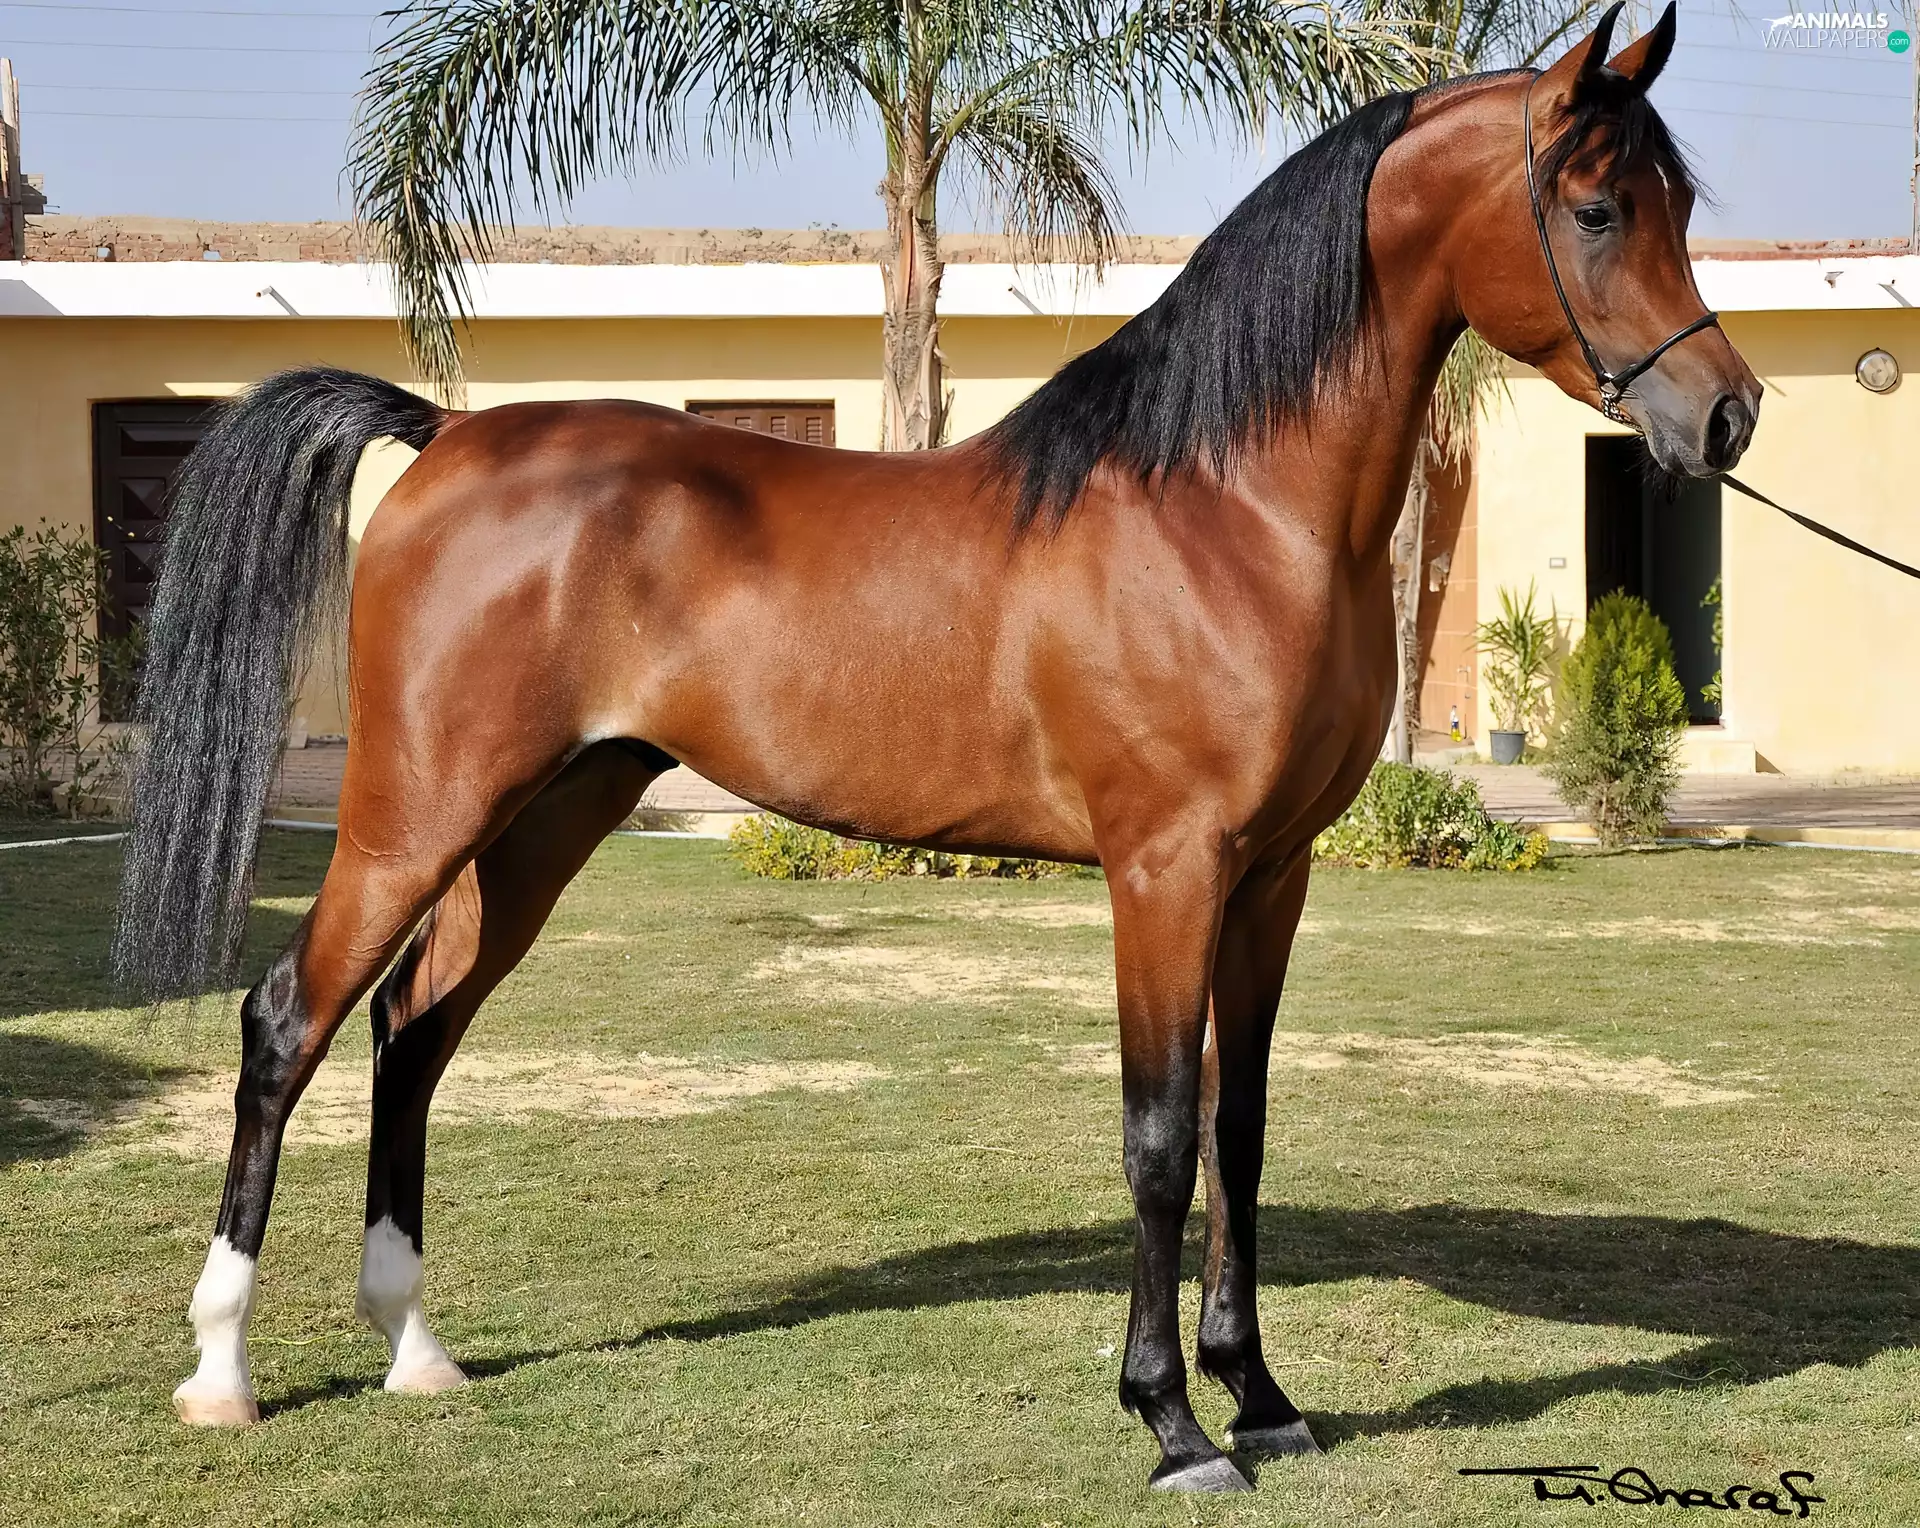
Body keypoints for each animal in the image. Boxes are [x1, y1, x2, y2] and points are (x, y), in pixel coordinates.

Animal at [116, 1, 1756, 1493]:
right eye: (1598, 207)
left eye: (1678, 204)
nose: (1726, 415)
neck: (1225, 508)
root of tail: (448, 437)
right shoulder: (1163, 872)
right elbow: (1161, 1137)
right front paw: (1173, 1426)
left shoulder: (1271, 875)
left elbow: (1242, 1129)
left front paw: (1264, 1398)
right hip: (419, 813)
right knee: (288, 1024)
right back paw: (219, 1373)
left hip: (544, 818)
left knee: (414, 1030)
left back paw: (415, 1351)